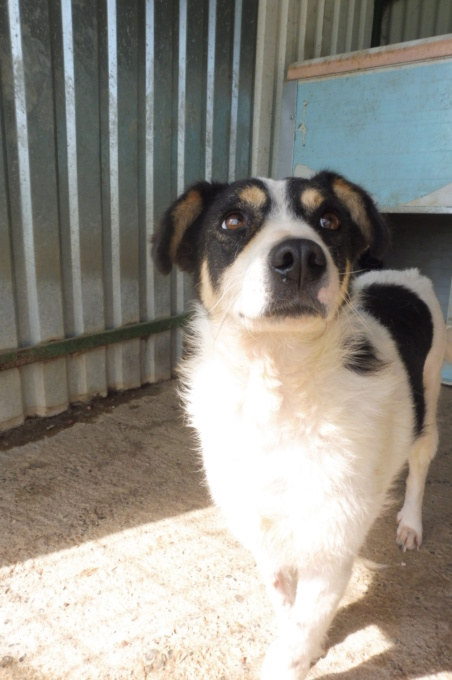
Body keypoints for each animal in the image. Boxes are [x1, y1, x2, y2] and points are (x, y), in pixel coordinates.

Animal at [151, 173, 444, 676]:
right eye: (233, 220)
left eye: (329, 220)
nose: (302, 257)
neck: (278, 386)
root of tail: (406, 274)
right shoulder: (260, 527)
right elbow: (286, 603)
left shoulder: (333, 542)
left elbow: (299, 635)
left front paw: (299, 654)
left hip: (430, 401)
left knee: (421, 464)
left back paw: (410, 522)